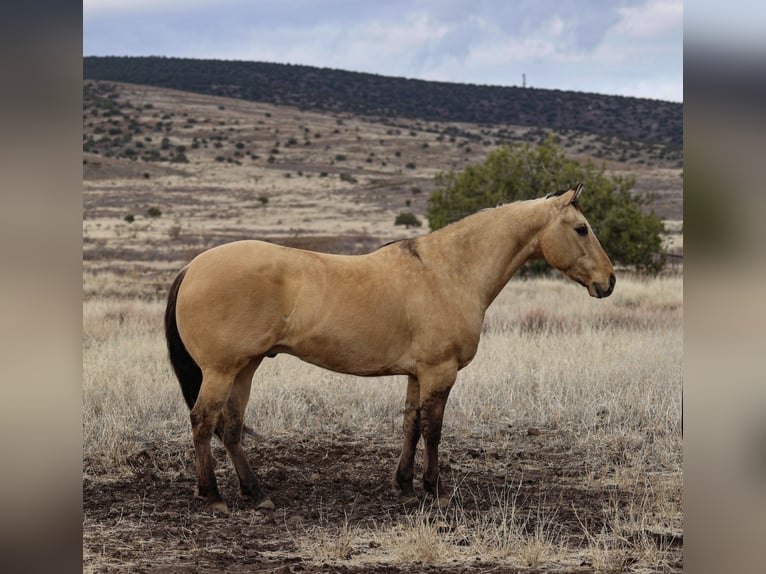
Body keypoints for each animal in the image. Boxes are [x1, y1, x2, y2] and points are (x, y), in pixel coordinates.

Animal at [165, 183, 616, 512]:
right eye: (581, 228)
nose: (608, 281)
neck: (449, 271)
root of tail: (192, 266)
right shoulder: (439, 372)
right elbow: (433, 430)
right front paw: (435, 489)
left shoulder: (417, 375)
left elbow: (411, 426)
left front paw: (404, 485)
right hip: (222, 370)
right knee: (203, 422)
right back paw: (213, 496)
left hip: (245, 367)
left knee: (231, 427)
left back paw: (256, 494)